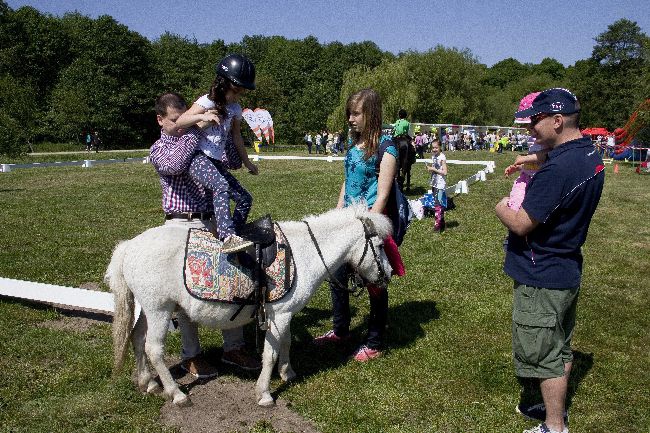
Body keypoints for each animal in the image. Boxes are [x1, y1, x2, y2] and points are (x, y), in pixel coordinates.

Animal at [106, 202, 390, 404]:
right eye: (378, 245)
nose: (387, 275)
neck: (304, 253)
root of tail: (129, 246)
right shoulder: (279, 315)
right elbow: (270, 353)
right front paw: (264, 393)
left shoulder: (285, 315)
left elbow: (285, 343)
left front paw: (288, 373)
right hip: (159, 310)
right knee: (154, 348)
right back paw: (176, 394)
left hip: (147, 309)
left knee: (137, 338)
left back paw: (149, 383)